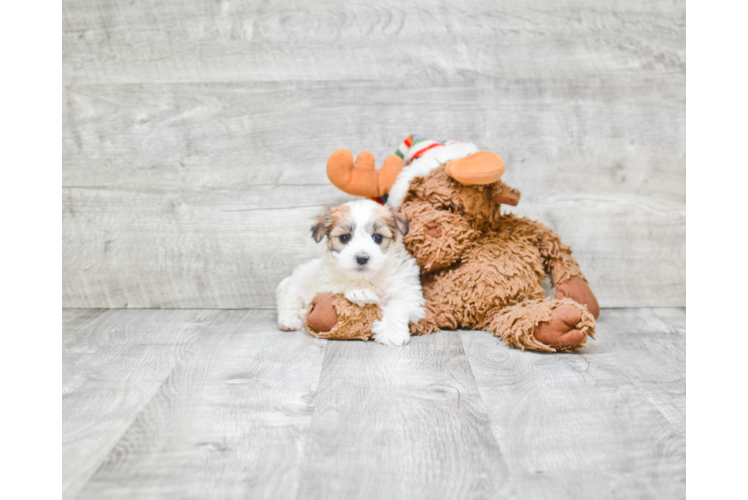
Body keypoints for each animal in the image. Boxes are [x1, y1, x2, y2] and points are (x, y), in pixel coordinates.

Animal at [276, 197, 426, 346]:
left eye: (377, 237)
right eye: (344, 238)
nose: (362, 258)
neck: (367, 278)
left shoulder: (409, 293)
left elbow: (398, 306)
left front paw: (392, 332)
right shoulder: (328, 282)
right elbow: (343, 286)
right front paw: (360, 294)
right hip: (293, 288)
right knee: (288, 306)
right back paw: (289, 320)